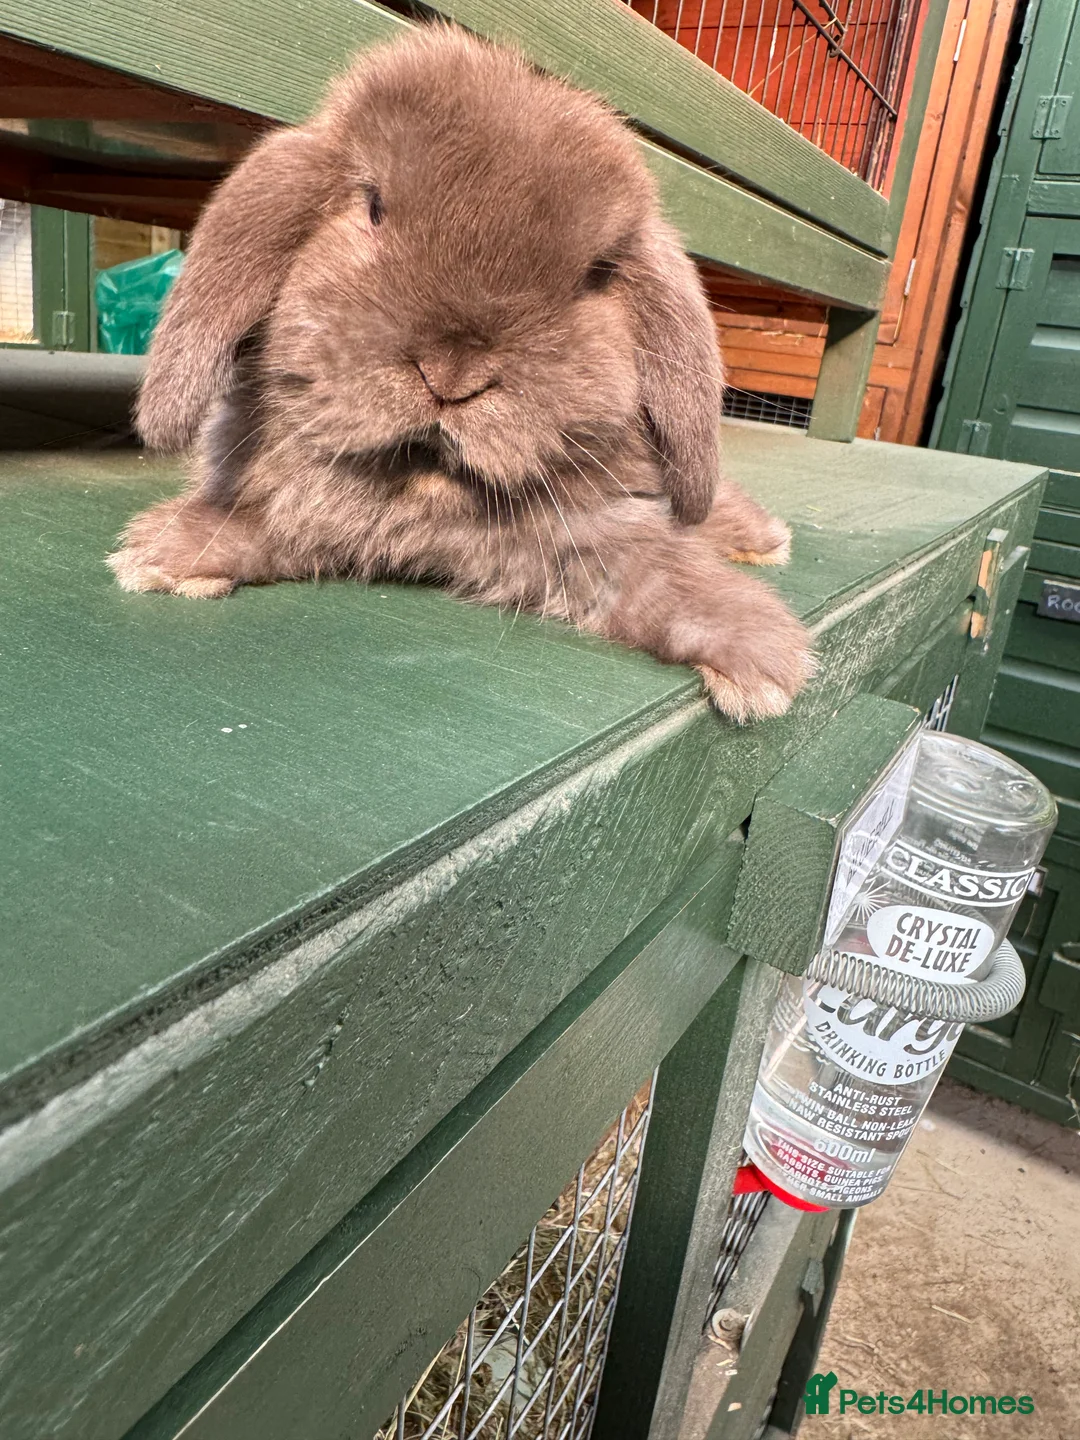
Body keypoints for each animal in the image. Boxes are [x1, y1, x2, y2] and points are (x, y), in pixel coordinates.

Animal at [110, 24, 813, 723]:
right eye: (373, 208)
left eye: (596, 276)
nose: (452, 374)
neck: (422, 489)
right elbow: (264, 523)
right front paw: (170, 552)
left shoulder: (590, 539)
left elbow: (663, 577)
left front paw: (759, 661)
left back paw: (758, 538)